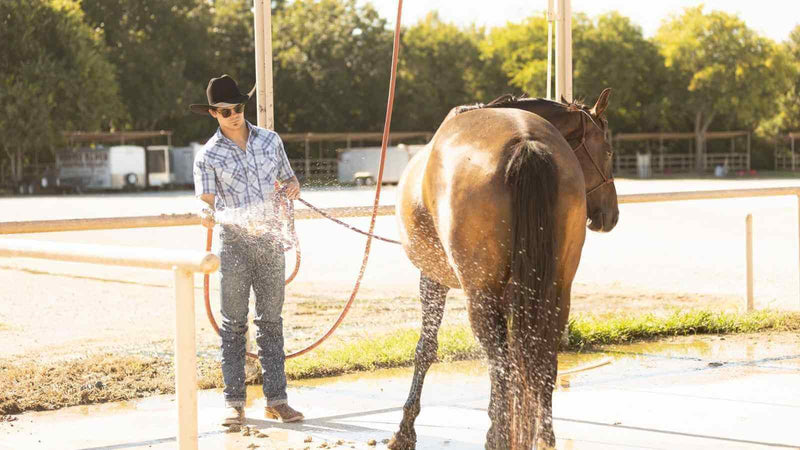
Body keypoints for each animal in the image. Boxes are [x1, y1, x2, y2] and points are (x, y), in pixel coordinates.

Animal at [388, 89, 620, 450]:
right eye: (607, 151)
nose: (611, 215)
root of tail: (525, 142)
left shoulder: (434, 278)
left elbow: (426, 348)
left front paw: (405, 431)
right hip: (556, 291)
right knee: (541, 362)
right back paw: (540, 437)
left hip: (480, 295)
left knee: (501, 364)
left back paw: (498, 437)